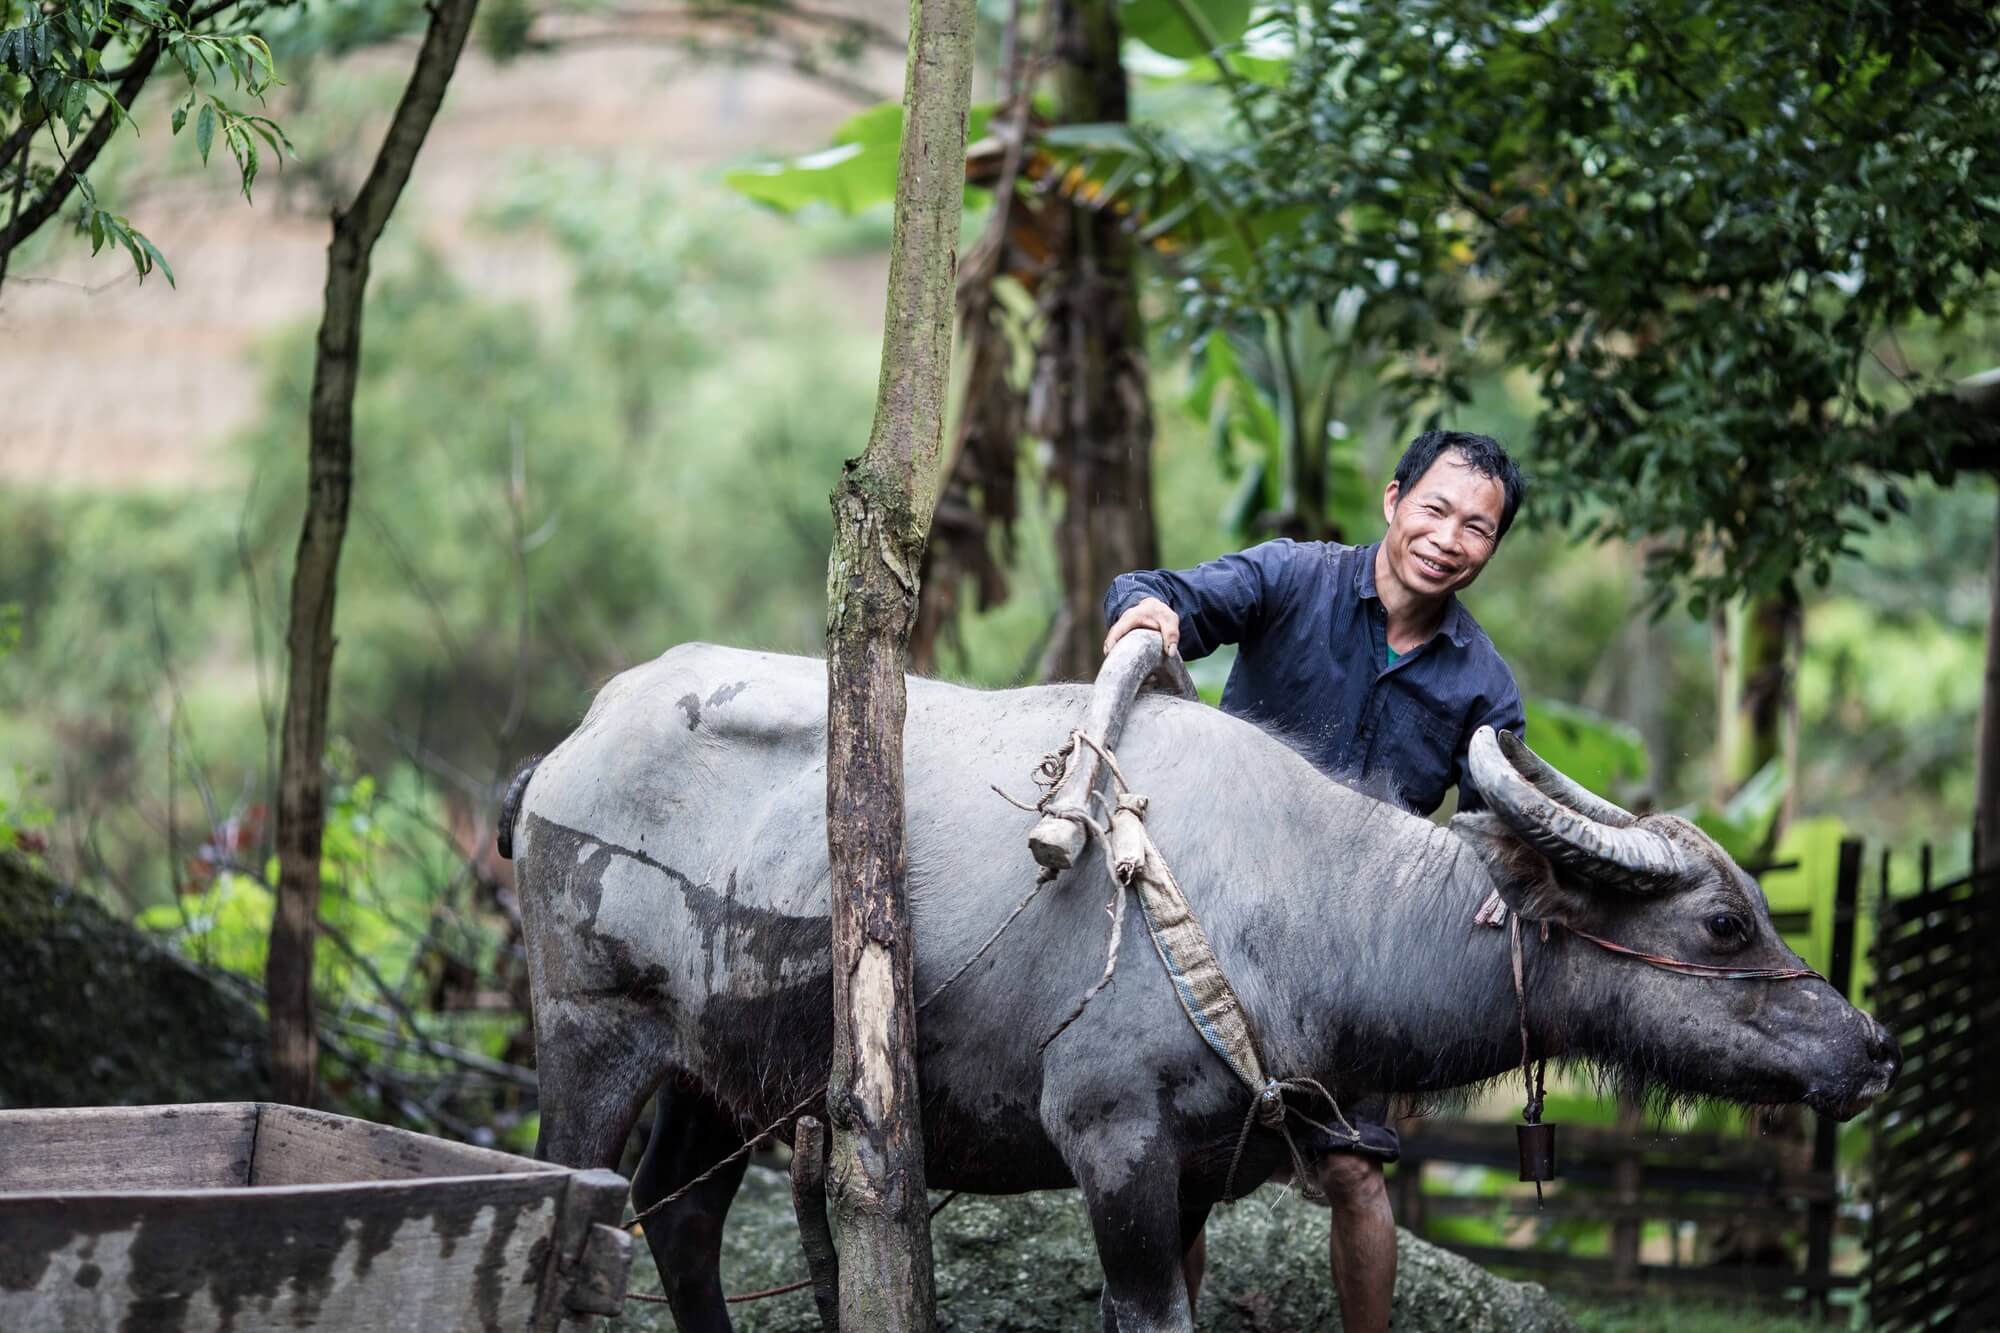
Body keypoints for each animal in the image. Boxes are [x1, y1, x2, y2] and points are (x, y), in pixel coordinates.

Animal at [508, 640, 1896, 1320]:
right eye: (1722, 920)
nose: (1869, 1046)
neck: (1310, 903)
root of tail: (568, 744)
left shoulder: (1196, 1170)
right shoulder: (1111, 1141)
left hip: (725, 1074)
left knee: (679, 1214)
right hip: (593, 1031)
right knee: (572, 1196)